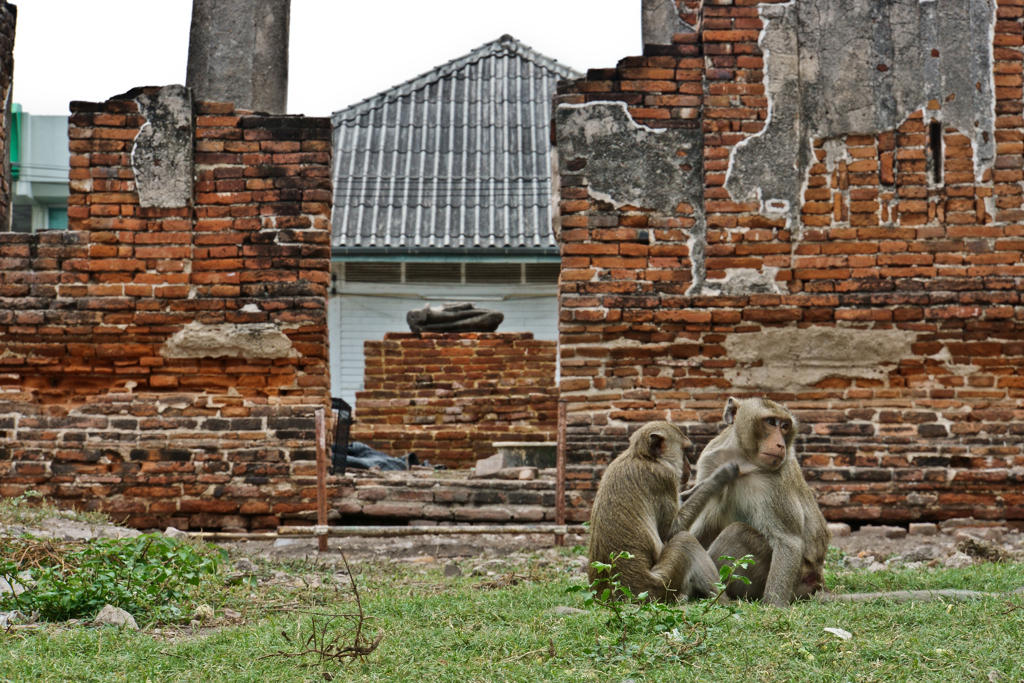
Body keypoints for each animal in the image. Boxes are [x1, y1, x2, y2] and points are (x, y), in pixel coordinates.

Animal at [585, 419, 745, 602]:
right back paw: (724, 601)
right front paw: (720, 476)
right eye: (684, 450)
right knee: (685, 541)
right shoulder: (664, 477)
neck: (644, 457)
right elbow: (670, 532)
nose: (689, 466)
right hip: (657, 587)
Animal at [688, 397, 831, 606]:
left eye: (785, 426)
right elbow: (706, 522)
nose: (780, 445)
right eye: (771, 422)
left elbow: (788, 541)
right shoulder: (710, 462)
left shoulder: (775, 480)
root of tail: (816, 579)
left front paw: (774, 606)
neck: (743, 460)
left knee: (736, 532)